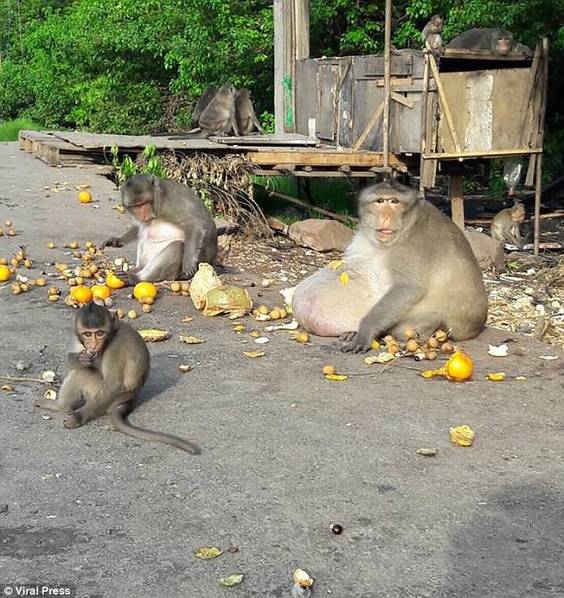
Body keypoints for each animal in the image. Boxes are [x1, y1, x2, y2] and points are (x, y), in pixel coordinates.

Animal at [34, 304, 202, 454]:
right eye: (88, 334)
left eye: (100, 333)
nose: (94, 344)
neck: (112, 334)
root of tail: (127, 402)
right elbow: (69, 359)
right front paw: (81, 358)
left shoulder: (114, 347)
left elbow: (113, 384)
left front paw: (78, 417)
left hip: (100, 396)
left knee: (82, 374)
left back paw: (61, 406)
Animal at [290, 180, 490, 354]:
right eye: (380, 201)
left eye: (394, 202)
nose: (385, 216)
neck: (407, 226)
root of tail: (478, 326)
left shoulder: (416, 246)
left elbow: (408, 288)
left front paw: (365, 330)